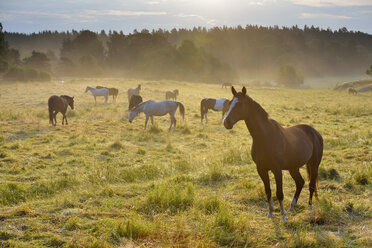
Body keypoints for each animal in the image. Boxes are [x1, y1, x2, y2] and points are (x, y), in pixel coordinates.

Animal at [224, 86, 322, 221]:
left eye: (239, 104)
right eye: (230, 103)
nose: (226, 122)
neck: (265, 136)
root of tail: (315, 132)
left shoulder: (277, 169)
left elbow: (279, 193)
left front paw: (283, 216)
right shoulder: (261, 169)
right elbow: (268, 191)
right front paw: (270, 213)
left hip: (314, 165)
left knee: (311, 184)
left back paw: (309, 206)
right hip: (293, 167)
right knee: (300, 182)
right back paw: (292, 207)